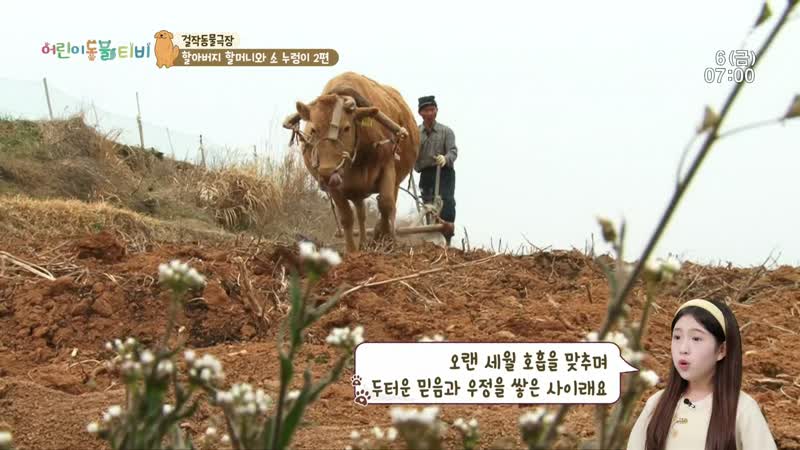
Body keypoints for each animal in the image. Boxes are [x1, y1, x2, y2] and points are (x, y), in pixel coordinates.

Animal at [283, 72, 420, 254]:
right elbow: (346, 216)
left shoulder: (388, 166)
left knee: (388, 207)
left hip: (394, 181)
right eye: (313, 129)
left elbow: (386, 204)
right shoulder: (336, 186)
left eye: (346, 128)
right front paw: (352, 251)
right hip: (355, 190)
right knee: (361, 213)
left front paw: (384, 240)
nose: (327, 173)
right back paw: (362, 243)